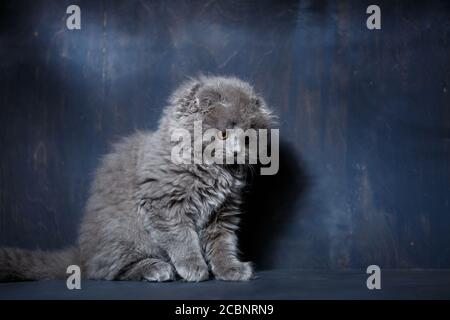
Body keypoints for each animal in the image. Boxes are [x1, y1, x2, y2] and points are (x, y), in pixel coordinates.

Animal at [0, 75, 274, 282]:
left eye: (248, 138)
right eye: (224, 134)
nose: (238, 151)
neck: (212, 170)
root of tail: (82, 254)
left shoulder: (223, 213)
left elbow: (222, 245)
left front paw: (231, 269)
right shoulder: (165, 205)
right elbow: (183, 240)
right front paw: (193, 268)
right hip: (123, 234)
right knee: (108, 270)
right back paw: (157, 268)